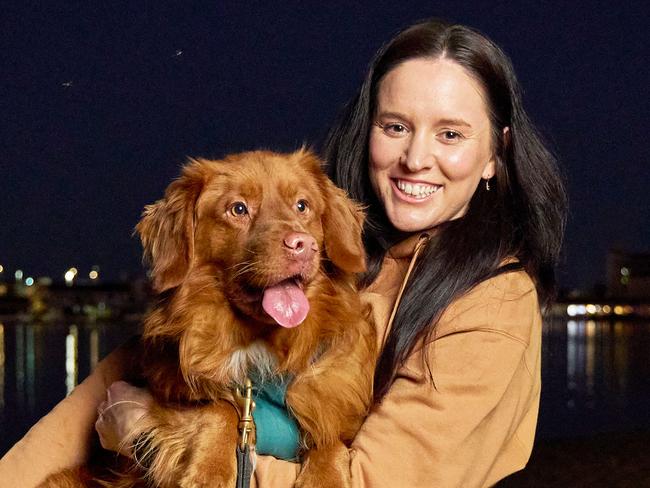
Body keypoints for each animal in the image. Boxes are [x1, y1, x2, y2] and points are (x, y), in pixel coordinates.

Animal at [44, 150, 374, 488]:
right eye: (238, 208)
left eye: (302, 205)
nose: (302, 245)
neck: (258, 347)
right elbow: (220, 407)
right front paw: (209, 467)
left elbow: (331, 442)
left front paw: (326, 478)